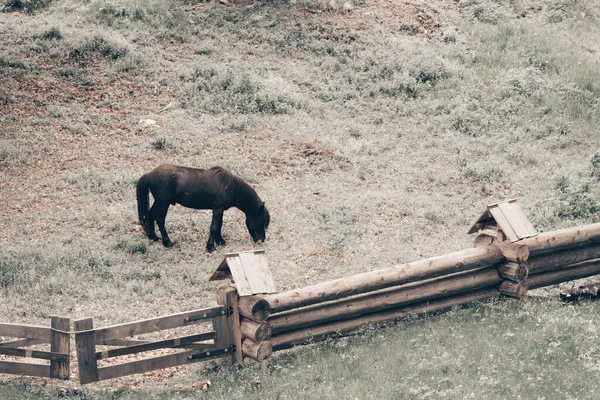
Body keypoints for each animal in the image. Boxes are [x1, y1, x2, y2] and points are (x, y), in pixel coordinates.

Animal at [137, 164, 270, 252]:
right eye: (261, 222)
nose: (261, 240)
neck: (230, 187)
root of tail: (150, 174)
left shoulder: (220, 210)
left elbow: (219, 225)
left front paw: (220, 241)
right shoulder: (217, 209)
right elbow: (214, 227)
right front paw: (210, 246)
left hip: (159, 202)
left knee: (150, 214)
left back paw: (153, 237)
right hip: (163, 203)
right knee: (160, 220)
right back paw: (167, 242)